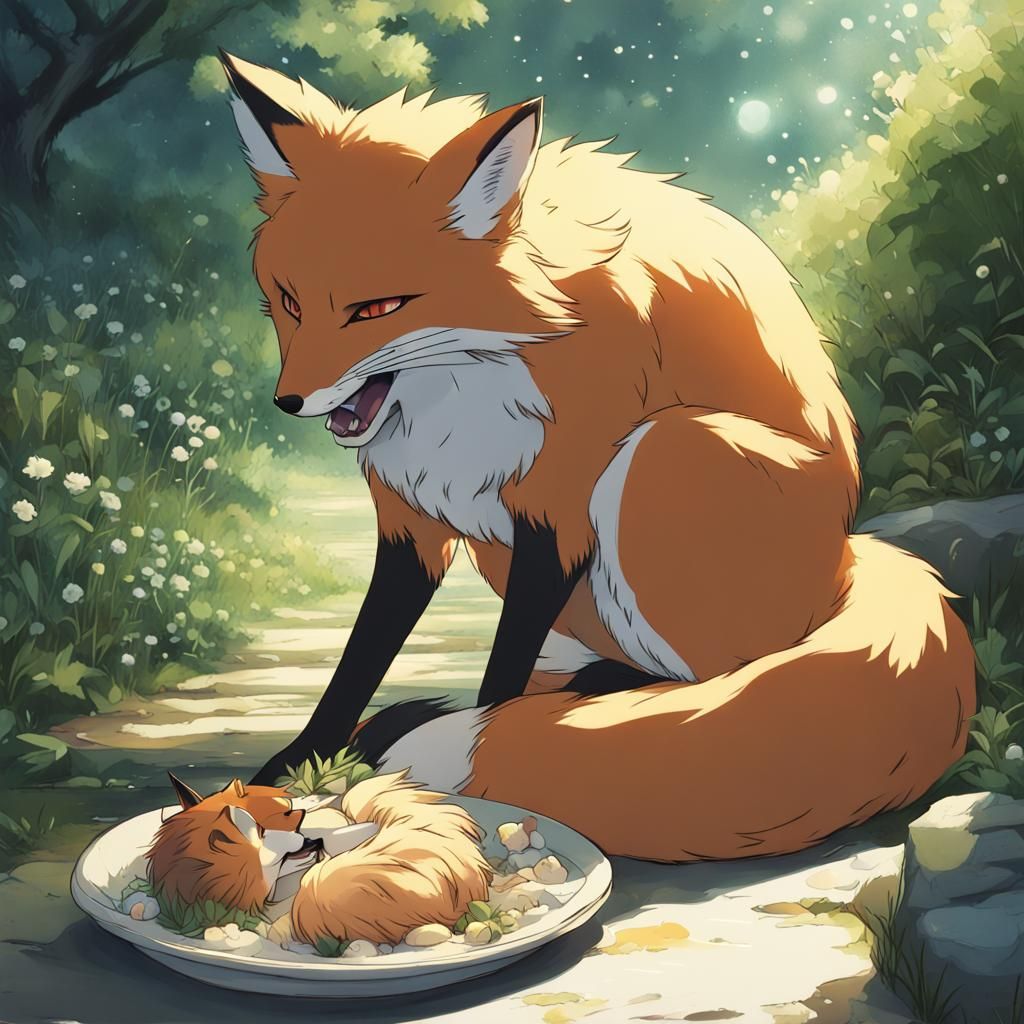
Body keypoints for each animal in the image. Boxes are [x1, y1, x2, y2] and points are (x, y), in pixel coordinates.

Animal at [220, 52, 976, 862]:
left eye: (377, 310)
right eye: (291, 302)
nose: (290, 402)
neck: (467, 395)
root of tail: (847, 554)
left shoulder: (558, 511)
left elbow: (498, 684)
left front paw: (496, 775)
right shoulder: (413, 521)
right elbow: (359, 660)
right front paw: (293, 767)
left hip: (664, 454)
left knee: (712, 677)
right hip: (513, 546)